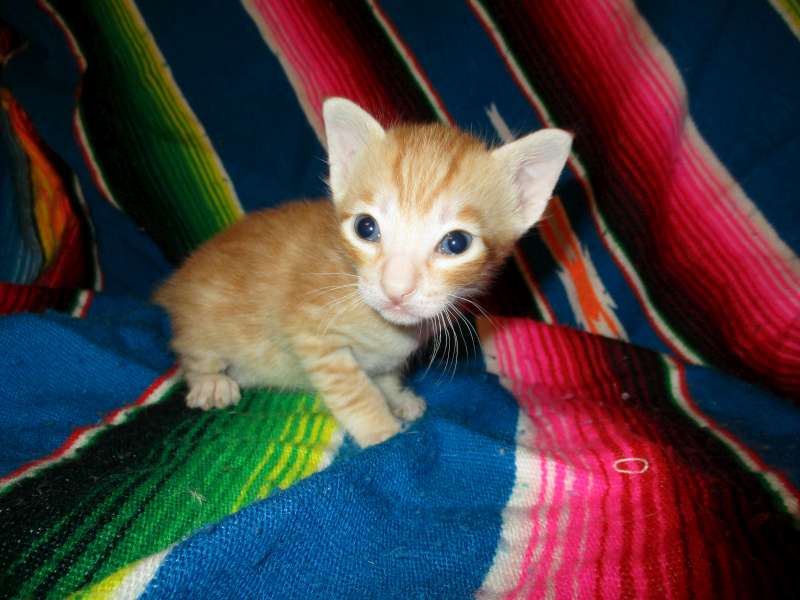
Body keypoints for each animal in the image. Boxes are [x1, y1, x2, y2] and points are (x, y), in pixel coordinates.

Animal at [154, 98, 571, 447]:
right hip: (202, 317)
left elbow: (384, 375)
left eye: (456, 243)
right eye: (366, 228)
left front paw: (397, 397)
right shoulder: (314, 336)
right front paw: (383, 433)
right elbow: (356, 392)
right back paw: (211, 381)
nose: (396, 289)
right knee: (191, 351)